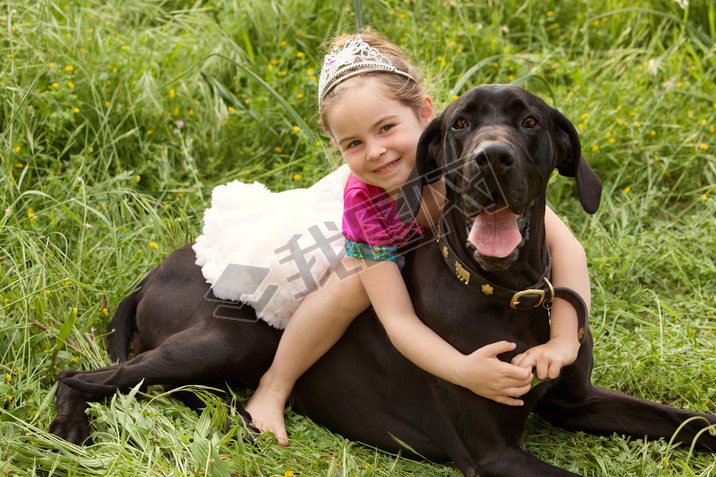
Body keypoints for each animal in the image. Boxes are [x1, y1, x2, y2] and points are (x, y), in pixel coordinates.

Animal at [51, 83, 716, 474]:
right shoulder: (494, 453)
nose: (491, 159)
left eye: (529, 122)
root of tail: (152, 272)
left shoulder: (579, 401)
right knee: (80, 376)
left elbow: (693, 423)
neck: (507, 290)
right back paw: (69, 427)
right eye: (460, 125)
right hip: (235, 335)